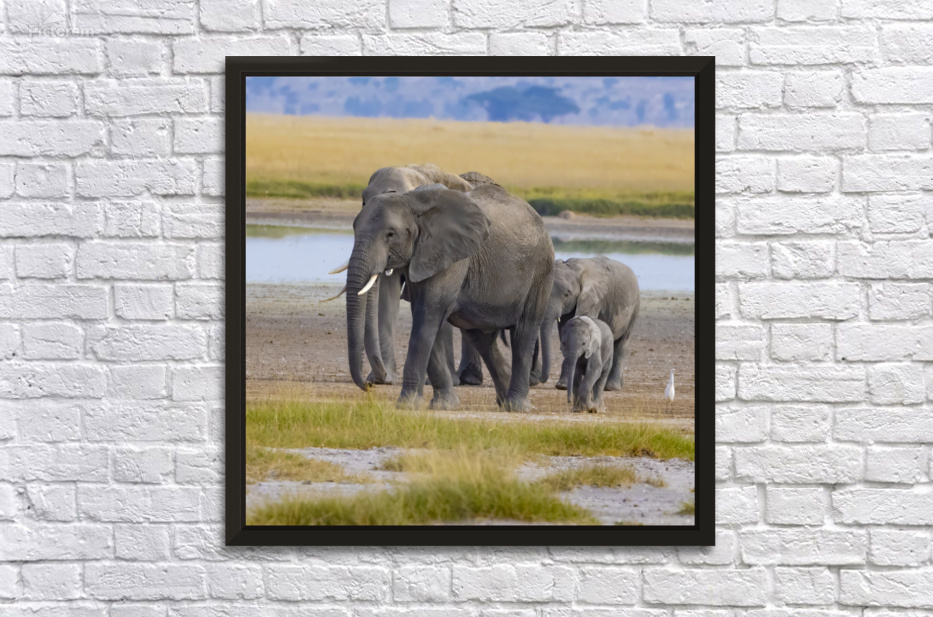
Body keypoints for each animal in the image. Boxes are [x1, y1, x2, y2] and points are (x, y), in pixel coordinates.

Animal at [344, 183, 554, 412]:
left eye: (391, 234)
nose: (370, 385)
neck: (412, 199)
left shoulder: (451, 257)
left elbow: (426, 316)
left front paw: (406, 405)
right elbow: (427, 319)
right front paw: (444, 405)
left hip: (540, 271)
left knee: (523, 333)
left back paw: (516, 407)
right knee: (482, 340)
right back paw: (503, 402)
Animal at [530, 255, 639, 392]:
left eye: (567, 293)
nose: (537, 379)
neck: (574, 268)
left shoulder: (593, 300)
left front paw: (564, 386)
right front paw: (563, 385)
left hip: (634, 310)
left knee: (622, 346)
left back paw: (611, 387)